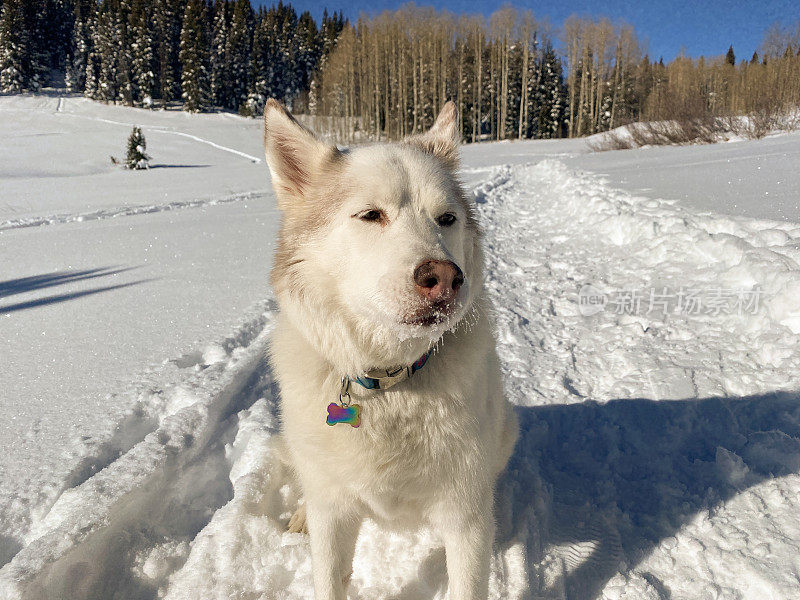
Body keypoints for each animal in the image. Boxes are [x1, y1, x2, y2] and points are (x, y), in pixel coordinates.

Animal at [262, 99, 520, 600]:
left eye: (447, 219)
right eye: (370, 215)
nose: (445, 278)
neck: (389, 383)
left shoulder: (466, 517)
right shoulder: (334, 515)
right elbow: (328, 578)